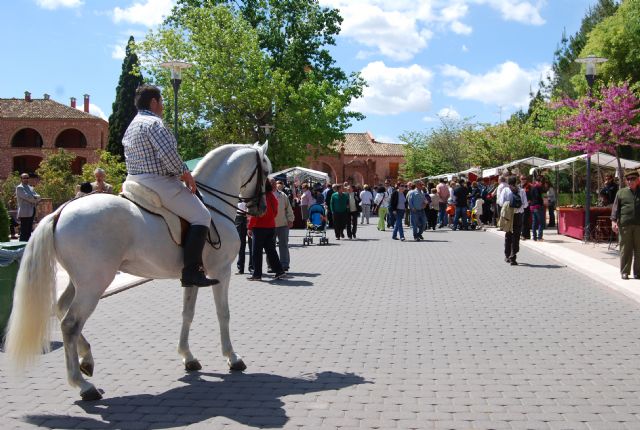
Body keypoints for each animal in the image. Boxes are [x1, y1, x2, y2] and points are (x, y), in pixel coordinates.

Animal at [3, 143, 272, 402]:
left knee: (61, 309)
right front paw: (232, 357)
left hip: (79, 281)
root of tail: (61, 211)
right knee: (70, 323)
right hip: (94, 284)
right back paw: (83, 385)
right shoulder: (221, 271)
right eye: (266, 171)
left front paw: (188, 357)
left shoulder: (193, 277)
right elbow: (223, 314)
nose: (261, 208)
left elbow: (187, 314)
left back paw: (86, 360)